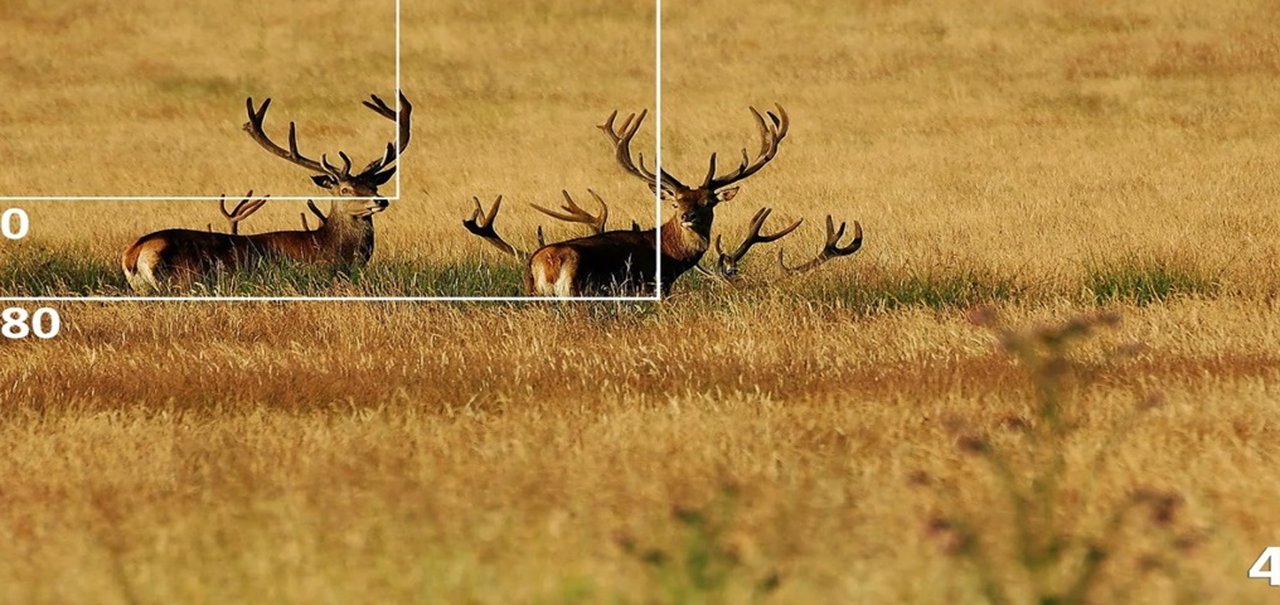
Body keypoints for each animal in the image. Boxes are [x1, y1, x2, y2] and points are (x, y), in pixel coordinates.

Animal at [120, 92, 409, 292]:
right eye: (345, 189)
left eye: (375, 185)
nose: (381, 200)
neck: (331, 248)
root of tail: (134, 252)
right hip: (184, 280)